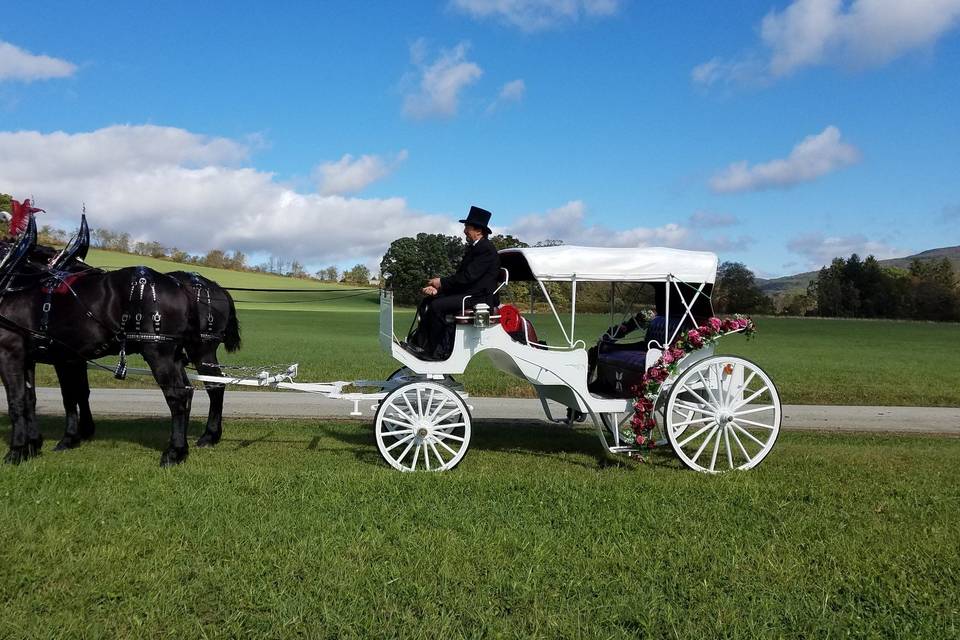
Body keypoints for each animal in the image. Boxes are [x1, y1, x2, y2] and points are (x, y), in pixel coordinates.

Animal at [0, 220, 240, 464]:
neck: (17, 283)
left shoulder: (18, 352)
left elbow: (24, 399)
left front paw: (19, 449)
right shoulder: (49, 357)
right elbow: (41, 397)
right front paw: (38, 443)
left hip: (166, 351)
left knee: (186, 393)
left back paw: (178, 450)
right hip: (181, 353)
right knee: (197, 389)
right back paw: (200, 438)